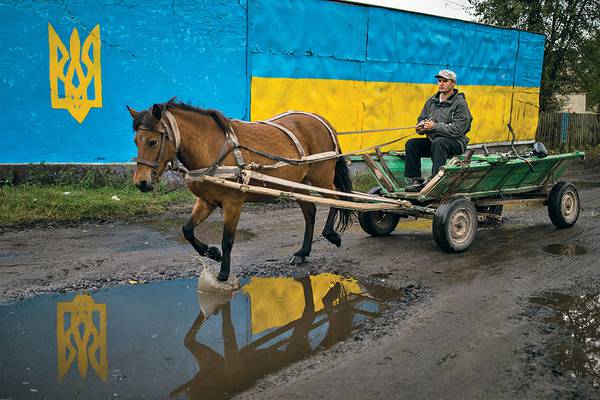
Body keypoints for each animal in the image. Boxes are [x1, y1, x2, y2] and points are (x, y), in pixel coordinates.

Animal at [126, 100, 352, 282]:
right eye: (136, 141)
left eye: (153, 141)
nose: (141, 182)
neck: (212, 149)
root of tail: (321, 121)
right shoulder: (206, 201)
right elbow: (187, 230)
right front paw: (211, 252)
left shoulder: (233, 203)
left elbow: (227, 239)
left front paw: (223, 273)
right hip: (297, 184)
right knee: (310, 211)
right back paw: (303, 252)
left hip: (321, 178)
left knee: (340, 199)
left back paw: (331, 234)